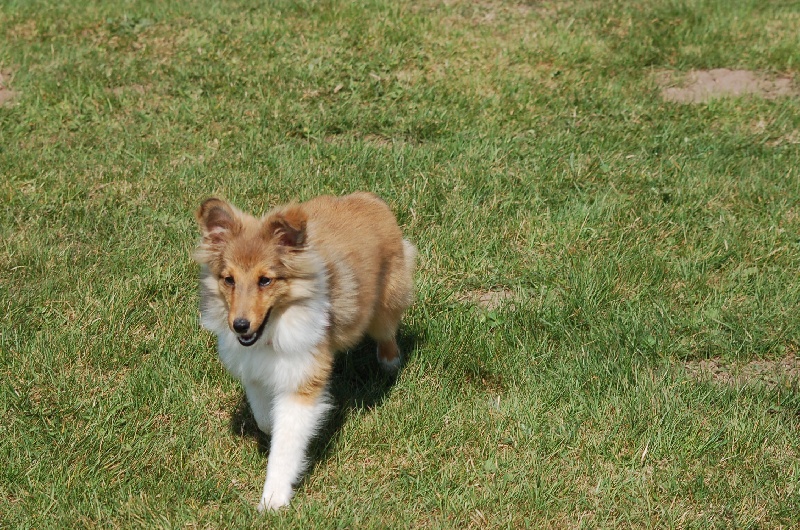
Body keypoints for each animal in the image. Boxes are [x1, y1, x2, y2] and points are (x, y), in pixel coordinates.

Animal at [195, 191, 416, 508]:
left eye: (265, 280)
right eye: (229, 279)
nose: (240, 326)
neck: (274, 328)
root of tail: (368, 197)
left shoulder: (301, 380)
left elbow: (286, 444)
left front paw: (272, 500)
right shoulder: (254, 370)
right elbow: (264, 418)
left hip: (385, 301)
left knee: (387, 331)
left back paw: (390, 363)